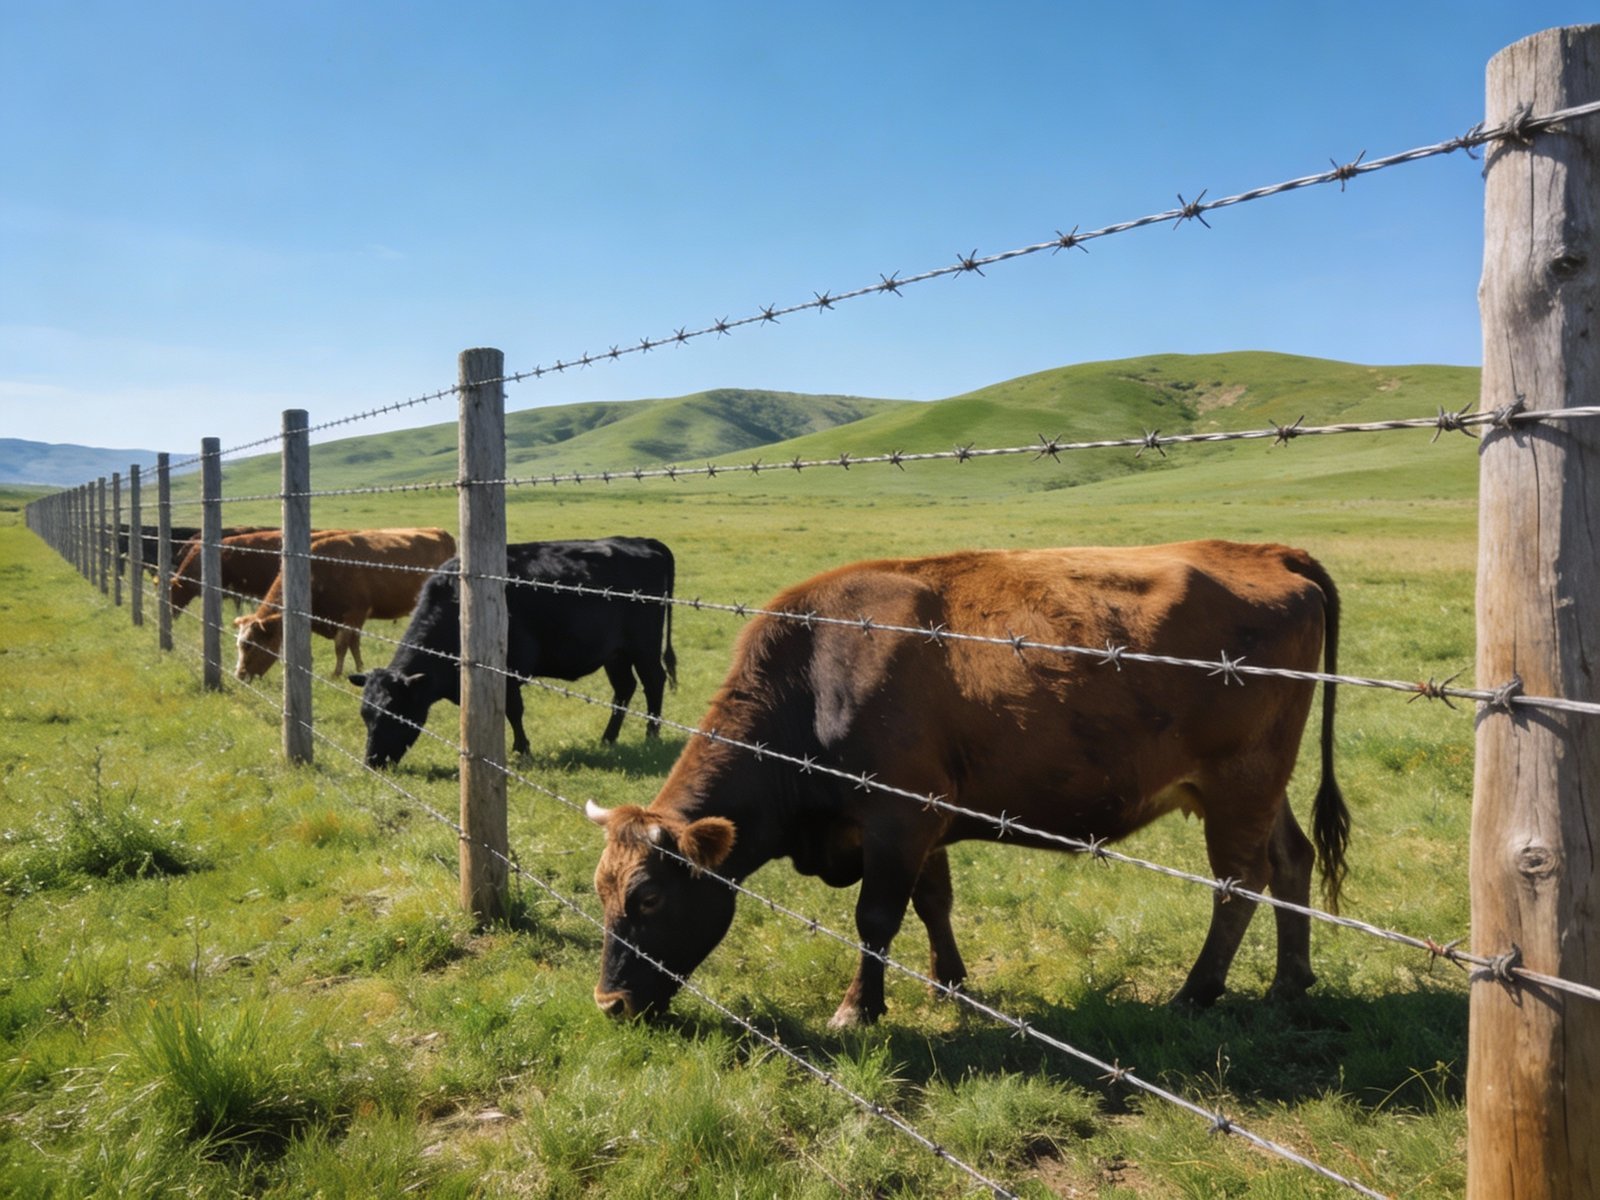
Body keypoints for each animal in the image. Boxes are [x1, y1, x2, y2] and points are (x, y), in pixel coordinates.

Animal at [233, 528, 456, 680]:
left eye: (250, 645)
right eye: (239, 644)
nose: (239, 675)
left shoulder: (353, 614)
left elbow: (341, 645)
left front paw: (337, 673)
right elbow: (354, 644)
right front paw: (359, 668)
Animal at [348, 537, 678, 768]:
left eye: (394, 714)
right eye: (365, 714)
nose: (372, 761)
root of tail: (645, 542)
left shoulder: (508, 670)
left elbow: (513, 711)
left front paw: (521, 750)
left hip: (644, 646)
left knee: (654, 681)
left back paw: (651, 736)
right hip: (615, 654)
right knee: (625, 688)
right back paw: (608, 739)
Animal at [585, 540, 1348, 1028]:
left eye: (649, 898)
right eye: (598, 891)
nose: (608, 1005)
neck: (817, 676)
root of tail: (1265, 552)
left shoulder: (898, 819)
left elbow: (876, 917)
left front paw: (857, 1008)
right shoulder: (924, 823)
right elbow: (934, 902)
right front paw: (948, 983)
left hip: (1239, 782)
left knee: (1238, 883)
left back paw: (1197, 991)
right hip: (1258, 785)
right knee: (1291, 859)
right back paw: (1289, 982)